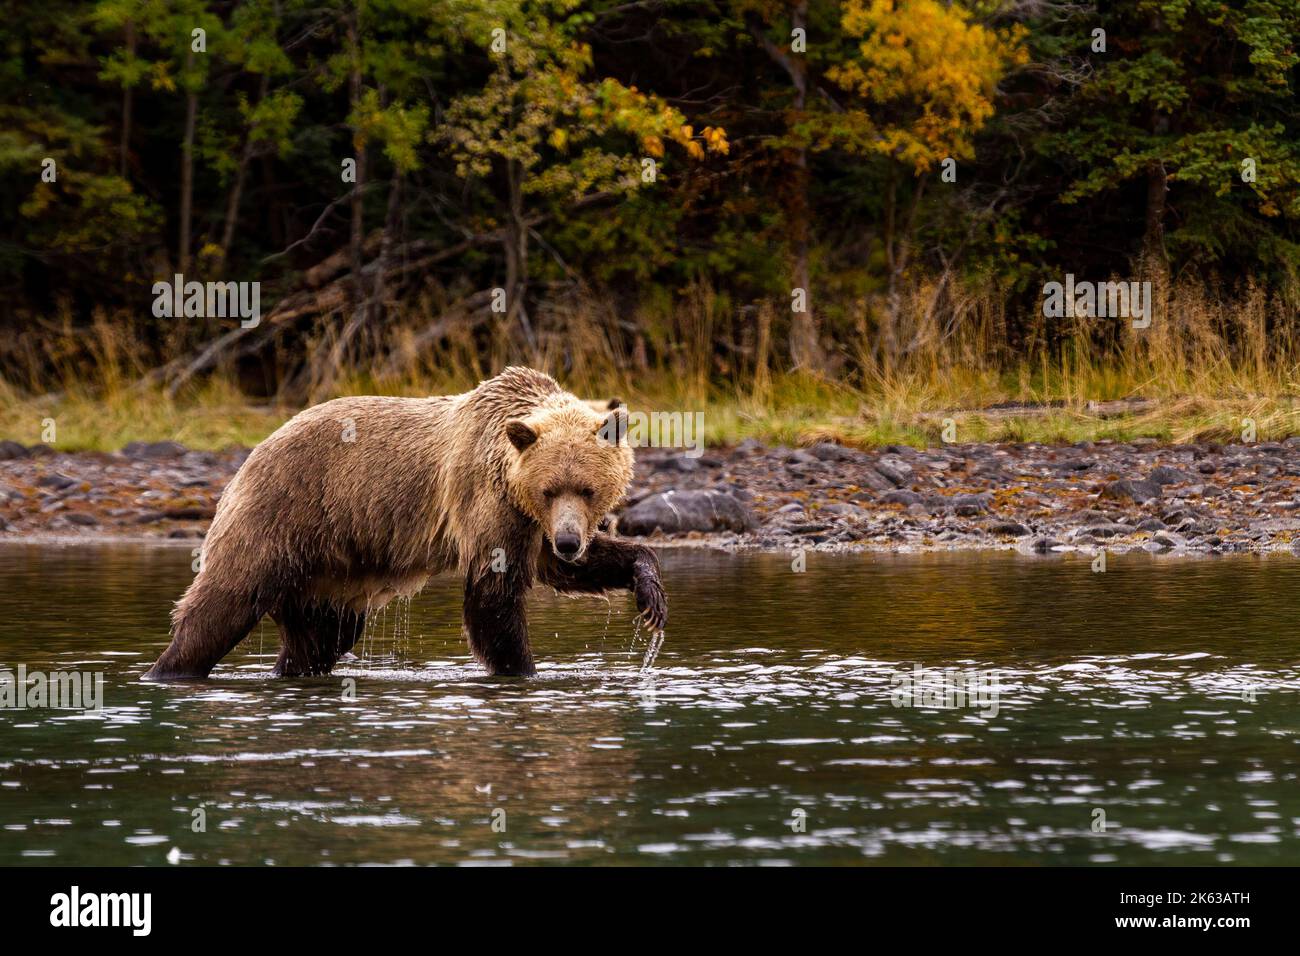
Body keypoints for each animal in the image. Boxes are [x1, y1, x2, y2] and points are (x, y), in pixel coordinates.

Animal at [147, 366, 665, 681]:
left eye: (587, 489)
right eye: (549, 488)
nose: (569, 541)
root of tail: (254, 450)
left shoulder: (529, 523)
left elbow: (562, 569)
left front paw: (650, 595)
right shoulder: (488, 498)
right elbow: (494, 594)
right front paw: (523, 669)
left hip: (327, 572)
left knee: (320, 636)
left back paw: (291, 669)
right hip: (279, 512)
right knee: (222, 603)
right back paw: (167, 668)